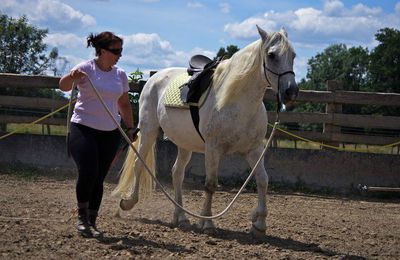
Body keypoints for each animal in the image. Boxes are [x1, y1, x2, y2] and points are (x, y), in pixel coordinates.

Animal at [111, 25, 296, 236]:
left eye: (293, 55)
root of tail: (153, 78)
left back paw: (181, 217)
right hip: (149, 131)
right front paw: (207, 222)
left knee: (177, 173)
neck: (236, 102)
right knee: (138, 165)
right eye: (271, 55)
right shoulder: (213, 149)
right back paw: (128, 203)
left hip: (184, 143)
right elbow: (210, 184)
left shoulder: (254, 150)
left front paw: (260, 223)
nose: (291, 92)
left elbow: (263, 180)